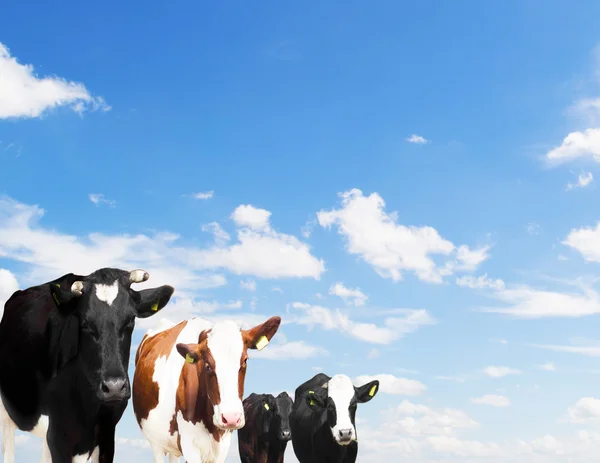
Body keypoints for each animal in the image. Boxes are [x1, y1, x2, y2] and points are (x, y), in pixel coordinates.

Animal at [131, 316, 282, 463]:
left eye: (245, 360)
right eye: (208, 365)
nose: (231, 418)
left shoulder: (223, 444)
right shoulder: (189, 443)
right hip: (156, 442)